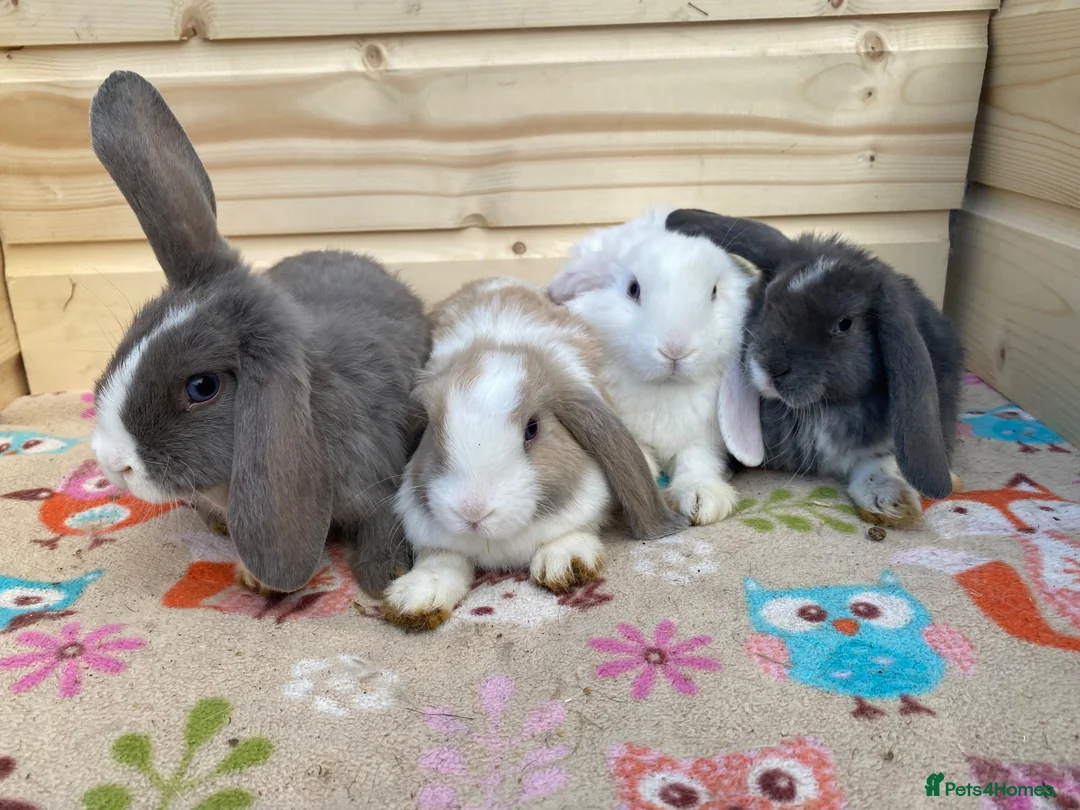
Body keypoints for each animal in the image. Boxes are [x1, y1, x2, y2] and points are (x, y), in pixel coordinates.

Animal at [86, 70, 432, 596]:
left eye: (202, 387)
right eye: (129, 341)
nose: (112, 463)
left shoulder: (380, 477)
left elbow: (383, 524)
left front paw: (385, 581)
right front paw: (253, 577)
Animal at [384, 277, 687, 630]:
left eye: (532, 429)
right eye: (433, 428)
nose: (472, 512)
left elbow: (574, 528)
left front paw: (566, 562)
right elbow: (442, 560)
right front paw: (416, 597)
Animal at [546, 206, 756, 526]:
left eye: (714, 291)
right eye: (633, 289)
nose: (675, 350)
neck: (664, 388)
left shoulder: (701, 439)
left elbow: (697, 462)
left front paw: (703, 500)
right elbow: (636, 452)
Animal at [665, 208, 964, 528]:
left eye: (844, 324)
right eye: (768, 299)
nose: (772, 369)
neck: (818, 410)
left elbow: (878, 463)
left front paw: (891, 503)